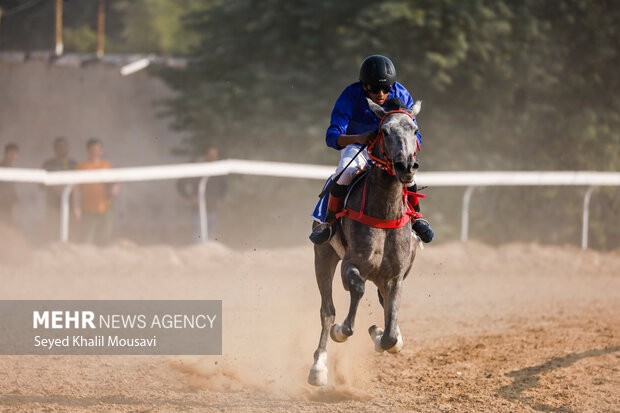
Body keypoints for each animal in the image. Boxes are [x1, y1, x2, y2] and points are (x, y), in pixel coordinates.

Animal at [306, 97, 422, 386]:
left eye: (414, 130)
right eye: (385, 131)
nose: (406, 166)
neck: (383, 212)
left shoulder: (396, 275)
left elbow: (390, 325)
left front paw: (384, 336)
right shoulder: (351, 263)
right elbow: (356, 291)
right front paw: (341, 330)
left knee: (384, 303)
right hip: (323, 255)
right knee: (327, 310)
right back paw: (318, 367)